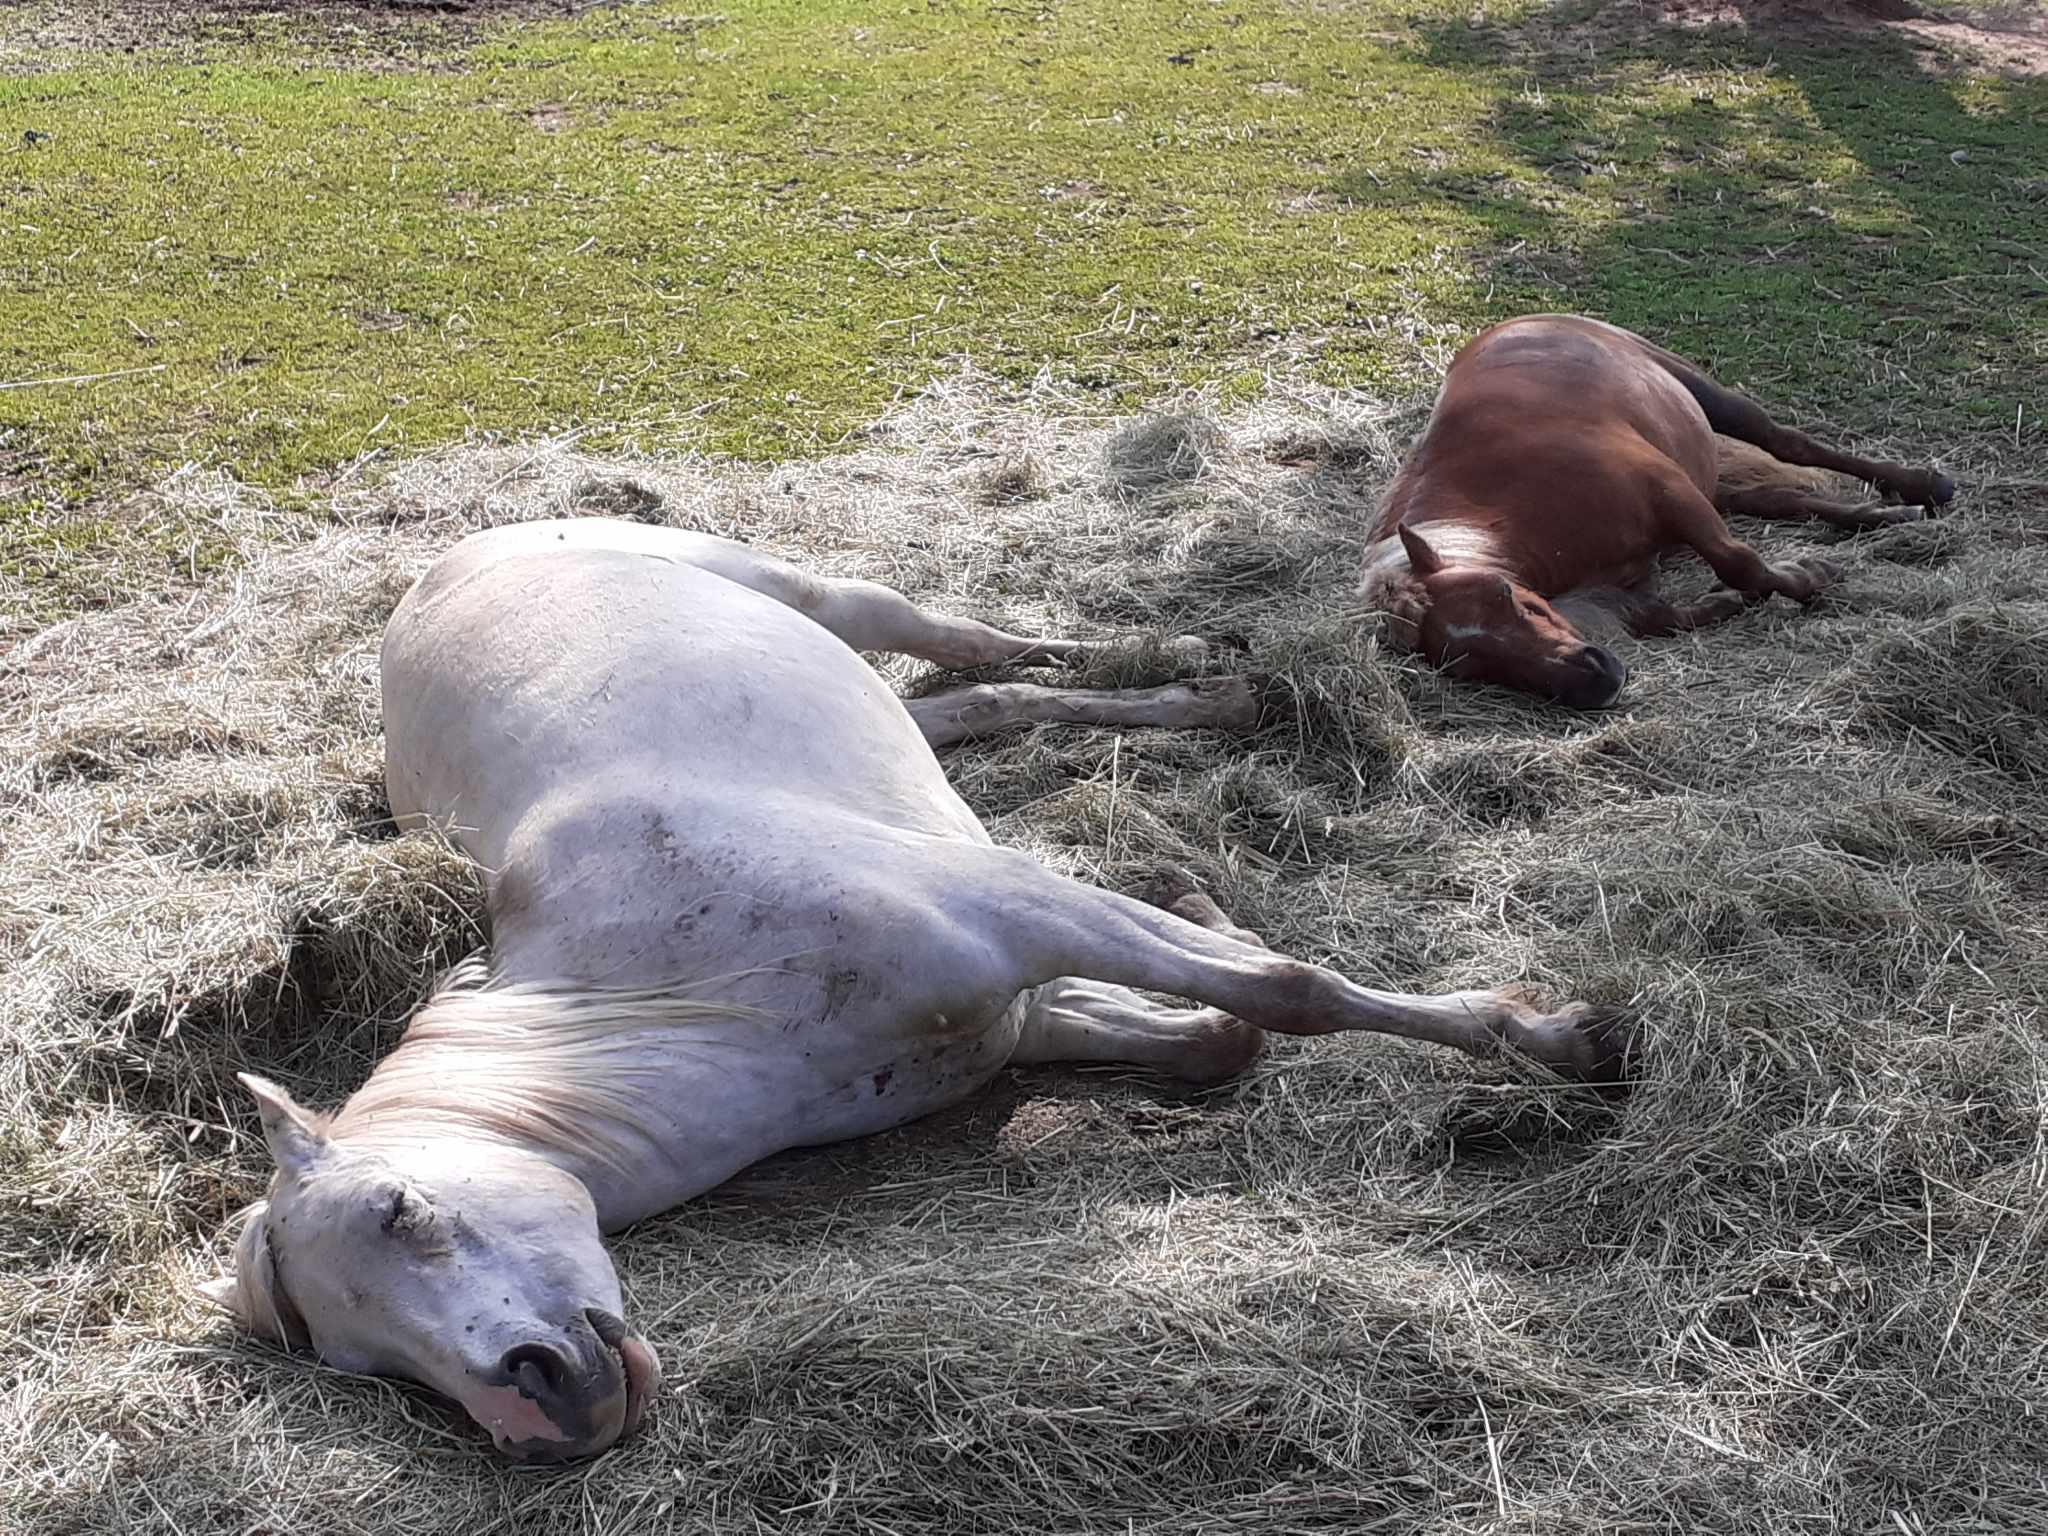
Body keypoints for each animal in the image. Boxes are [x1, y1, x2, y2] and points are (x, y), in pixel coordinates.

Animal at [201, 516, 1626, 1461]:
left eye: (400, 1210)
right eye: (363, 1360)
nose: (537, 1399)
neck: (659, 977)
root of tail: (462, 552)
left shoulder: (1018, 908)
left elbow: (1291, 988)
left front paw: (1556, 1036)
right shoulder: (1016, 1015)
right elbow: (1220, 1035)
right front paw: (1207, 917)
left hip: (824, 594)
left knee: (974, 637)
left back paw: (1196, 659)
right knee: (983, 701)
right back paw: (1207, 694)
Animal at [1361, 314, 1958, 708]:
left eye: (1505, 595)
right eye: (1472, 664)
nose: (1597, 678)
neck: (1502, 506)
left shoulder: (1670, 493)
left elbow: (1741, 563)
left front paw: (1810, 576)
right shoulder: (1623, 593)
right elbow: (1678, 613)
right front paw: (1741, 597)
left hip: (1707, 399)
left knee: (1789, 444)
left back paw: (1922, 485)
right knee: (1785, 499)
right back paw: (1891, 517)